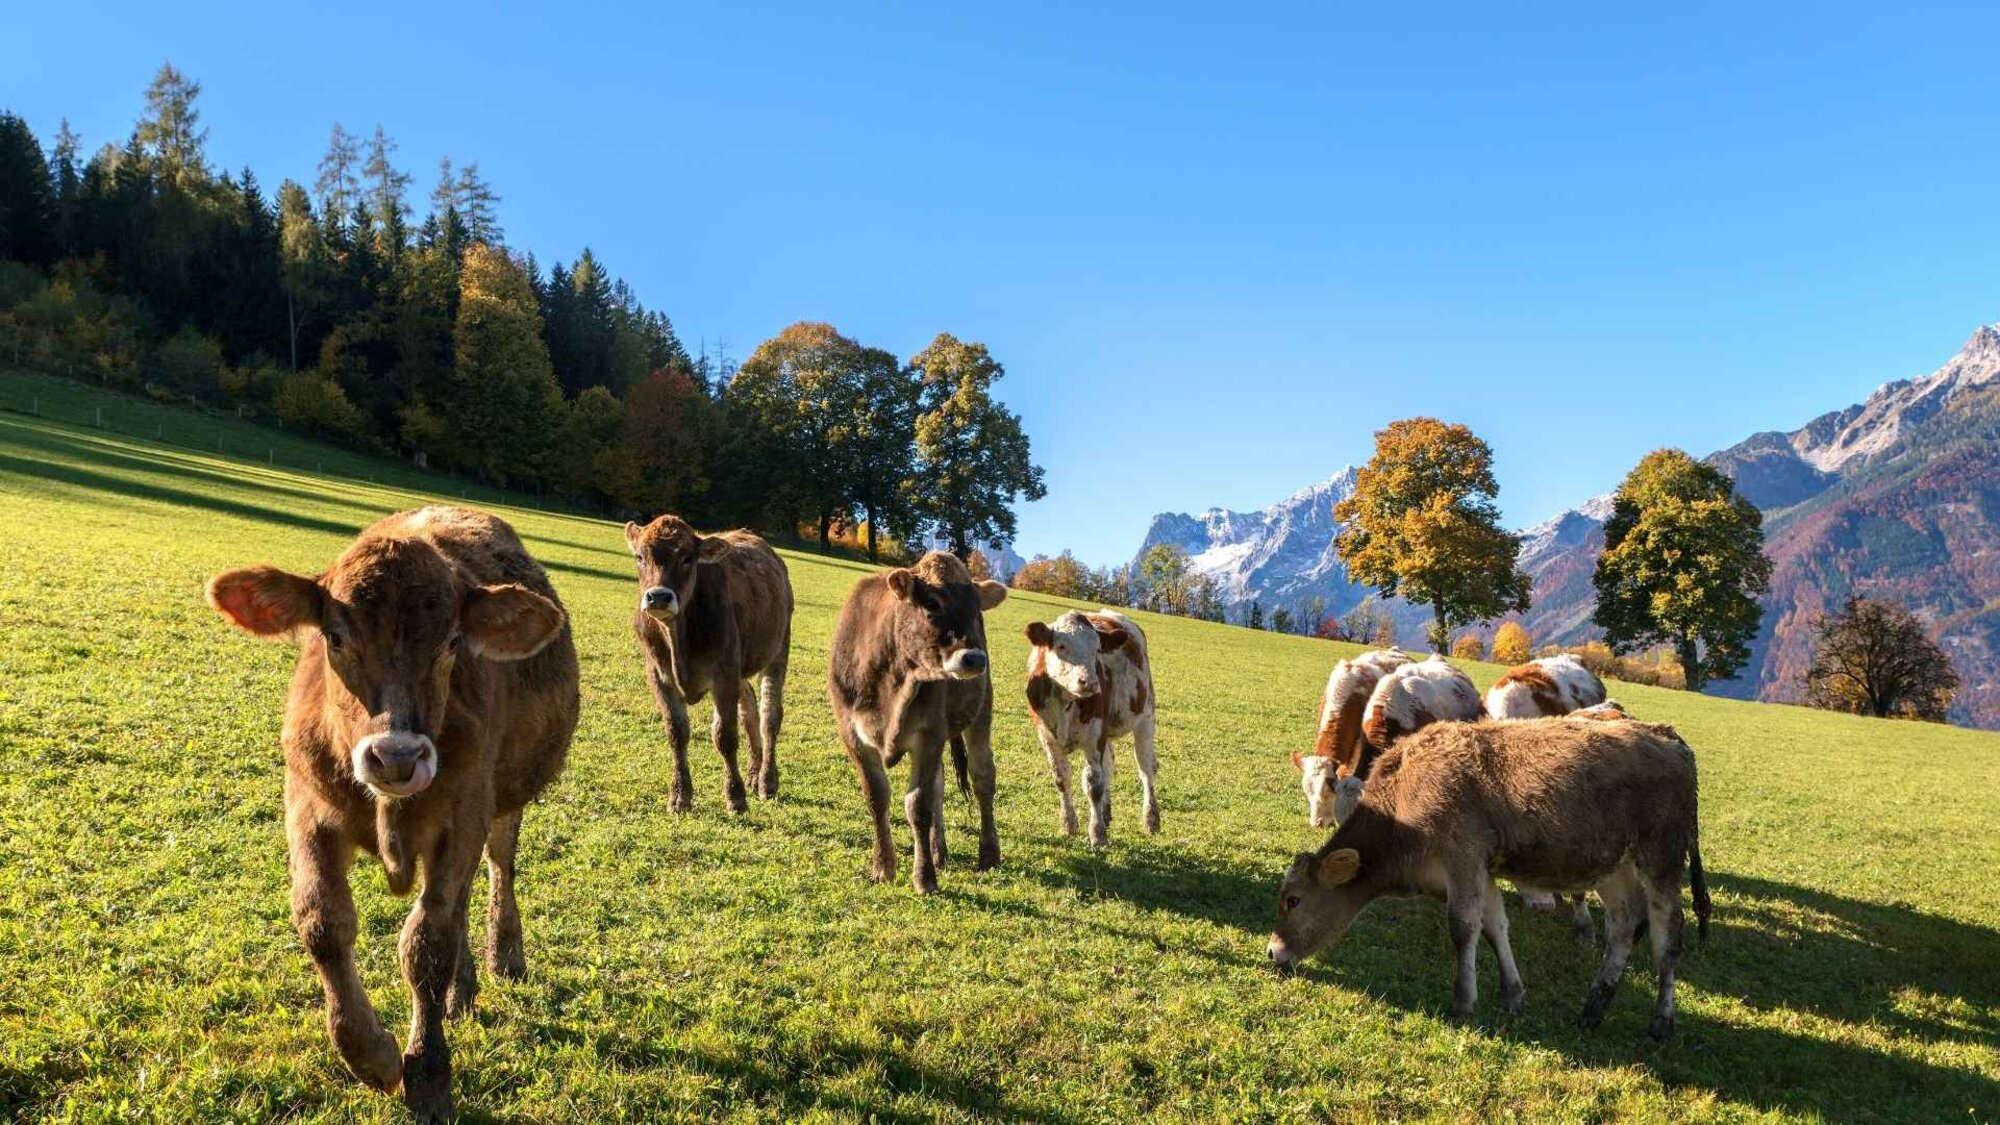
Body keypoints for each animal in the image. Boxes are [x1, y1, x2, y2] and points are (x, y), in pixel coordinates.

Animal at [205, 506, 579, 1120]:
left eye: (453, 642)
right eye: (334, 636)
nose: (397, 756)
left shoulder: (463, 817)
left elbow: (427, 943)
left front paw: (427, 1073)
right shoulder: (306, 807)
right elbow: (322, 922)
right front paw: (372, 1055)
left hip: (504, 798)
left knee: (497, 867)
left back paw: (503, 958)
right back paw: (461, 993)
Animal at [626, 515, 793, 812]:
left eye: (687, 558)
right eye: (639, 556)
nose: (658, 597)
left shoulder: (723, 674)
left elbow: (724, 735)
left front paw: (735, 796)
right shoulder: (658, 675)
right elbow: (677, 732)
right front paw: (680, 796)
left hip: (777, 650)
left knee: (770, 716)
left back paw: (766, 781)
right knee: (749, 709)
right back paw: (753, 773)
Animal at [827, 551, 1009, 894]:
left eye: (977, 608)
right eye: (932, 602)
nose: (975, 658)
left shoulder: (929, 735)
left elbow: (918, 805)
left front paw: (924, 878)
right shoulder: (852, 735)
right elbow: (877, 797)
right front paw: (883, 868)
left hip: (981, 714)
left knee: (982, 778)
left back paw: (989, 853)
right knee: (939, 785)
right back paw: (939, 851)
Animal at [1024, 609, 1160, 846]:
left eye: (1097, 649)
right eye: (1061, 645)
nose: (1089, 682)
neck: (1065, 700)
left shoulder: (1095, 735)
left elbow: (1093, 783)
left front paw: (1098, 834)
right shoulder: (1046, 736)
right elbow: (1061, 778)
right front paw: (1068, 824)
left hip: (1146, 717)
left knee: (1146, 769)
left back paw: (1151, 819)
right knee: (1109, 765)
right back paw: (1106, 812)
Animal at [1267, 718, 1710, 1040]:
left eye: (1293, 900)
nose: (1272, 952)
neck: (1402, 806)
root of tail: (1669, 736)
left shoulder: (1463, 858)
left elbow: (1463, 928)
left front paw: (1463, 1000)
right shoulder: (1484, 869)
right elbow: (1494, 926)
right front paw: (1511, 993)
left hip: (1662, 856)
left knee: (1667, 934)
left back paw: (1661, 1021)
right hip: (1612, 866)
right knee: (1623, 924)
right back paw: (1593, 1008)